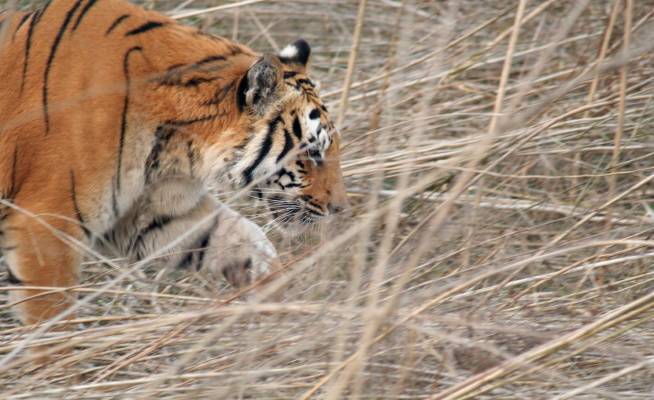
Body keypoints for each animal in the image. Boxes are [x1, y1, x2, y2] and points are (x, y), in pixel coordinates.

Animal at [0, 0, 348, 330]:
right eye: (312, 154)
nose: (340, 209)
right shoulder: (44, 223)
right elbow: (50, 317)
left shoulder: (150, 211)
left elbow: (240, 236)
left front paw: (276, 299)